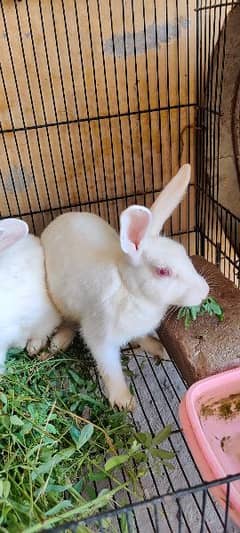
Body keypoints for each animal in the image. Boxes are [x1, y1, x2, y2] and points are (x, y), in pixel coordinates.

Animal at [42, 164, 209, 410]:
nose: (205, 292)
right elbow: (111, 371)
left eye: (183, 252)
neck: (130, 290)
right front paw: (125, 402)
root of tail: (59, 218)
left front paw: (158, 348)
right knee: (69, 323)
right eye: (163, 271)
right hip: (62, 302)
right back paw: (58, 343)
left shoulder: (137, 329)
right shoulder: (100, 340)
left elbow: (141, 339)